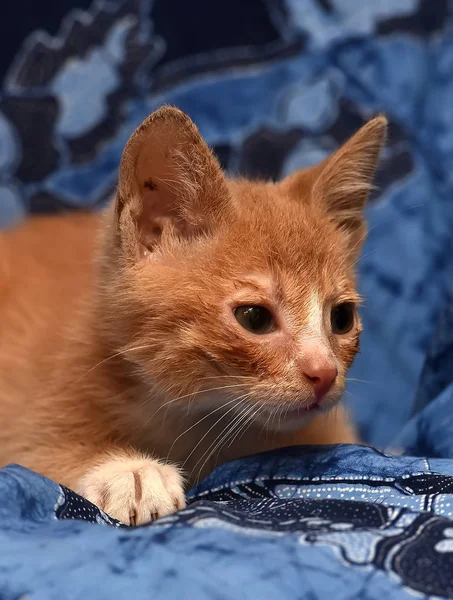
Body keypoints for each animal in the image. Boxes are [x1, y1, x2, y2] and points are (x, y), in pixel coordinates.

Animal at [0, 108, 384, 524]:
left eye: (342, 317)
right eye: (254, 318)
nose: (325, 373)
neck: (192, 422)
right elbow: (33, 452)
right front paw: (129, 471)